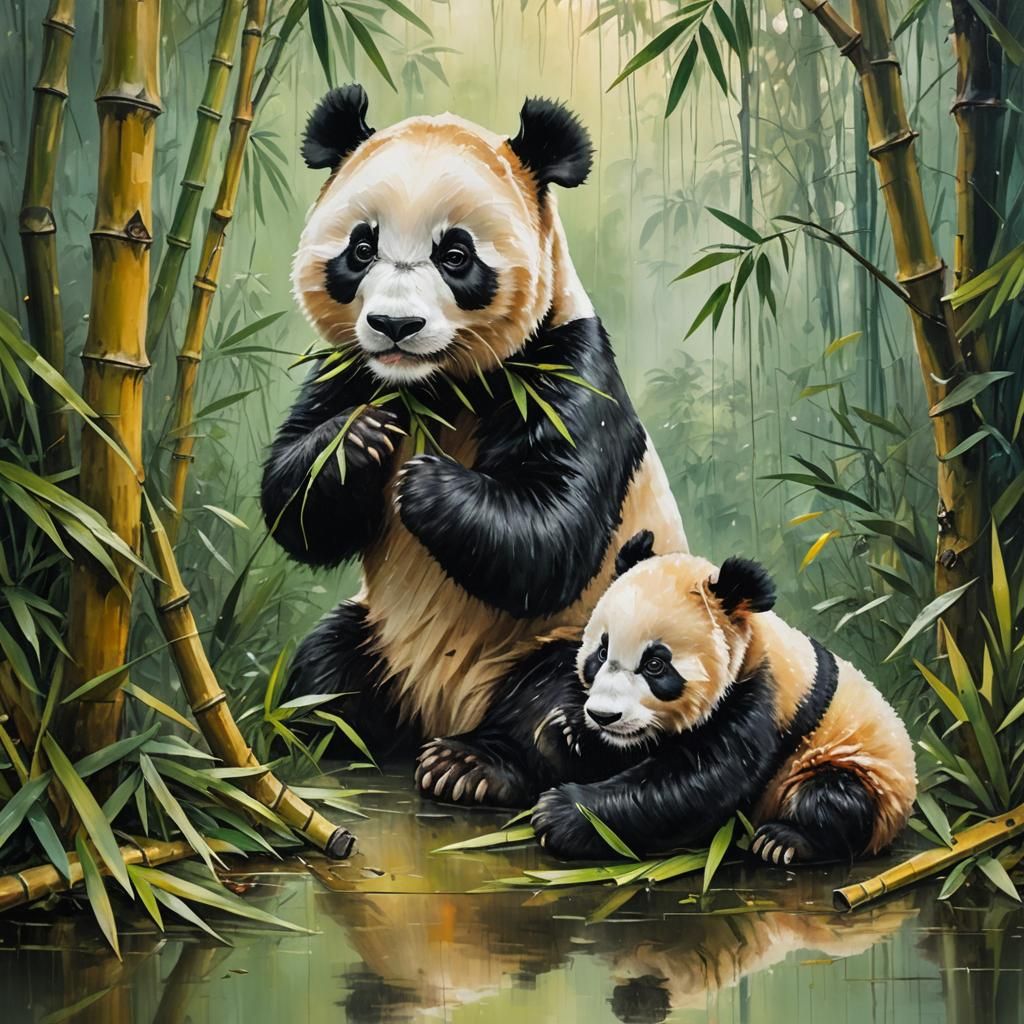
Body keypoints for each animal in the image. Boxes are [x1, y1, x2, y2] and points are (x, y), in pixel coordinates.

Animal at [261, 86, 687, 778]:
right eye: (361, 248)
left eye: (455, 255)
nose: (394, 325)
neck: (436, 385)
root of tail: (438, 713)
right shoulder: (352, 369)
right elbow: (293, 500)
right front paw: (358, 441)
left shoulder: (569, 365)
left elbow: (553, 532)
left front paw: (425, 485)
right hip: (375, 633)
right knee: (325, 665)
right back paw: (317, 738)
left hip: (577, 641)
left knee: (555, 698)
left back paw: (476, 765)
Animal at [519, 531, 917, 863]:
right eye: (601, 653)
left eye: (655, 665)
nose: (604, 716)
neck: (749, 643)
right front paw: (566, 733)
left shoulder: (759, 699)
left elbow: (698, 783)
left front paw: (559, 812)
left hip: (859, 768)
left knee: (833, 798)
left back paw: (784, 840)